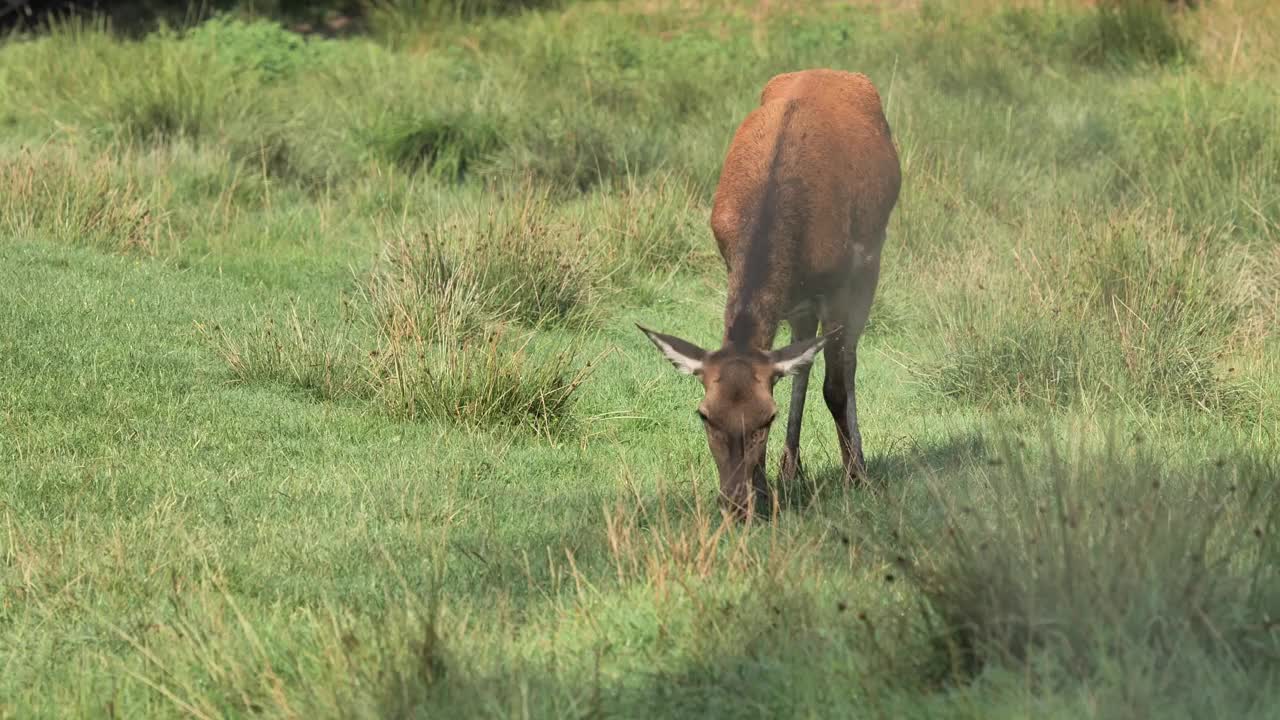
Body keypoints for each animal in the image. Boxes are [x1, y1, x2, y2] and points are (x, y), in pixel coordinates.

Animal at [637, 68, 901, 515]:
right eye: (705, 415)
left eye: (766, 419)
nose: (734, 502)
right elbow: (788, 364)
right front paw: (766, 487)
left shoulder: (840, 282)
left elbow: (835, 386)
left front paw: (855, 477)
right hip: (800, 298)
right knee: (804, 360)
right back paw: (790, 468)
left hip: (871, 258)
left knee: (846, 360)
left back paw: (855, 465)